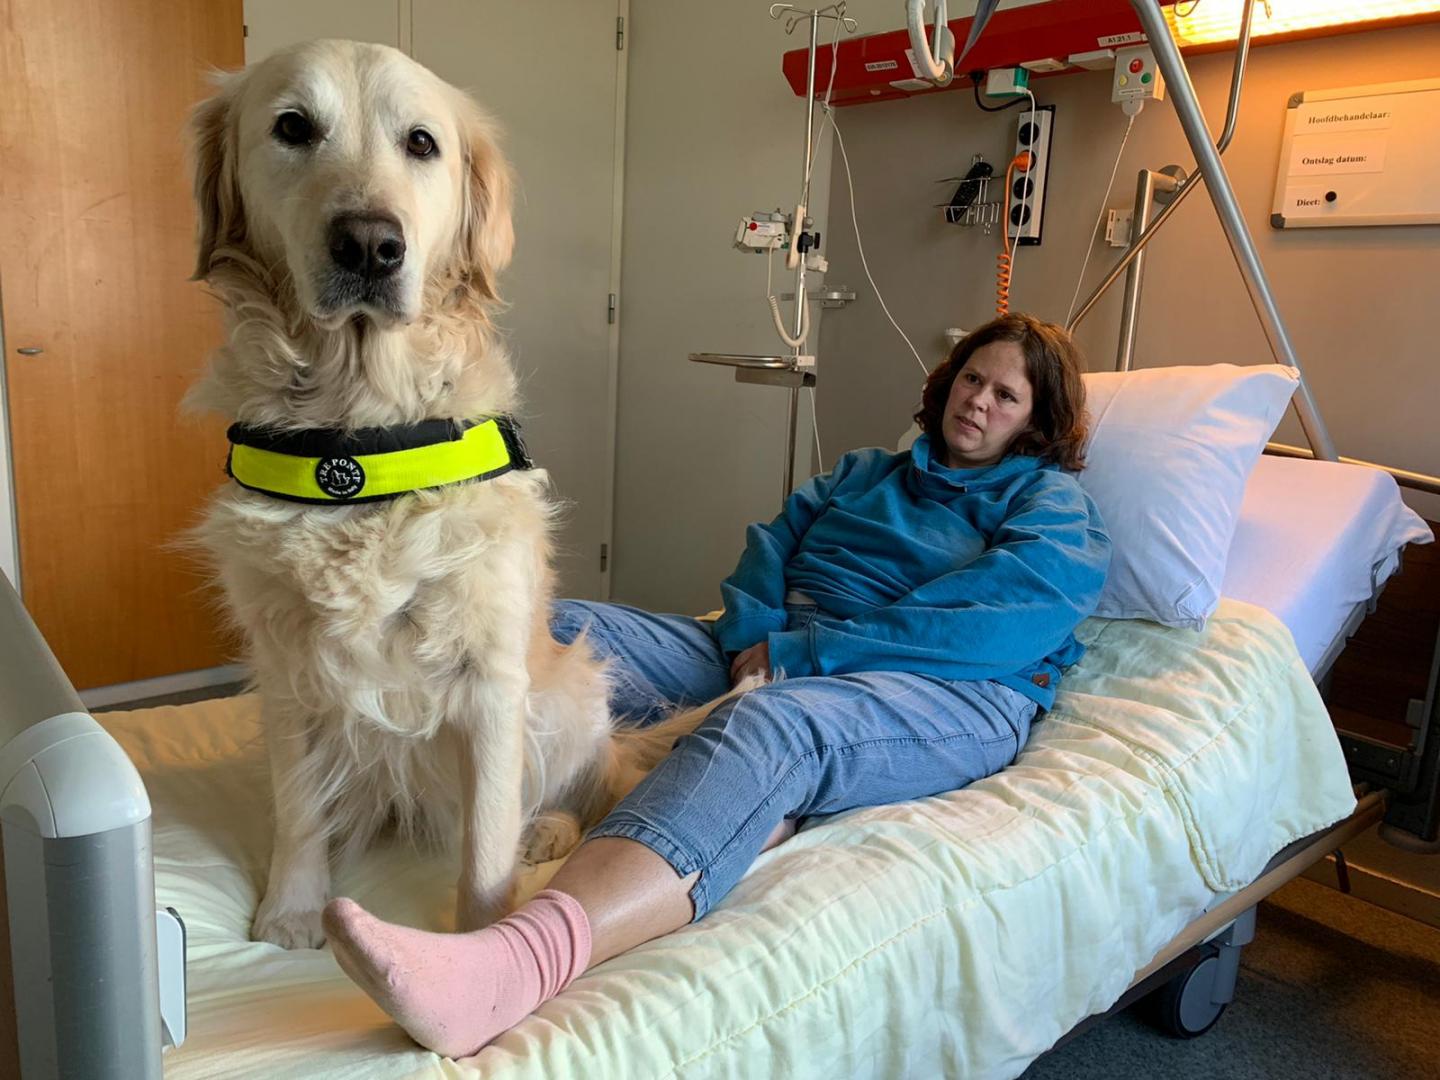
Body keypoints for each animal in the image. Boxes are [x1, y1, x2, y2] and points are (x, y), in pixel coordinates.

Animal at [185, 42, 702, 950]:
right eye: (292, 128)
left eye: (421, 143)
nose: (369, 245)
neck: (356, 444)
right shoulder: (285, 671)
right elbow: (297, 808)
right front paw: (292, 909)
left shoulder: (491, 677)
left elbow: (486, 839)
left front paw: (484, 938)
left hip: (570, 693)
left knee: (576, 791)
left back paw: (548, 830)